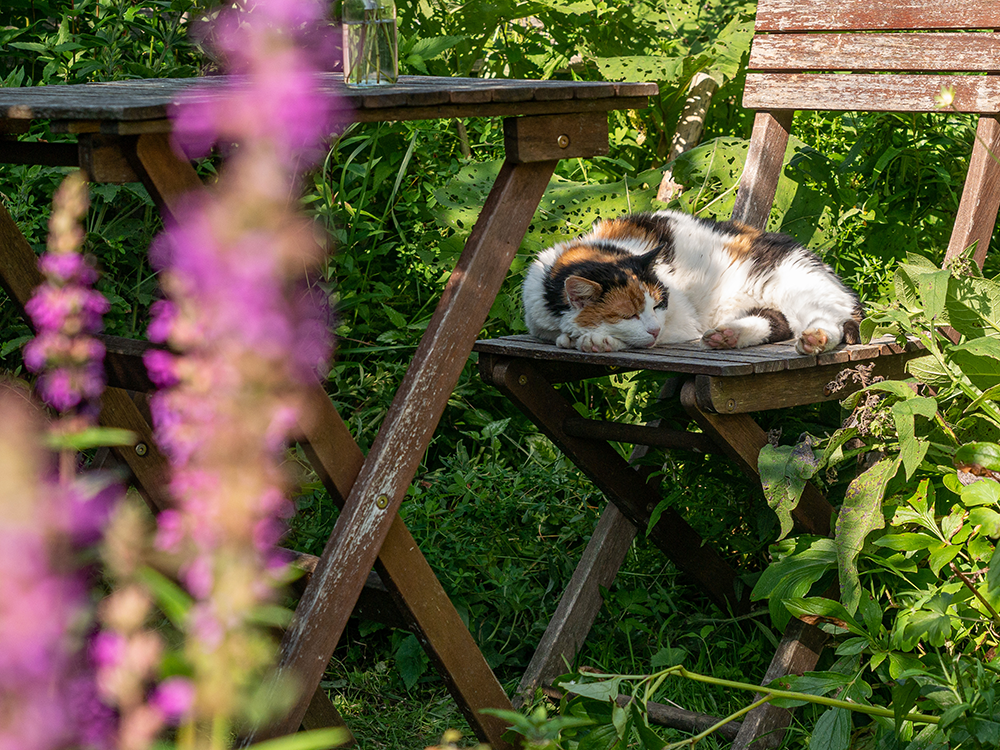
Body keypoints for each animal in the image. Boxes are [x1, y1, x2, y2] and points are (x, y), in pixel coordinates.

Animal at [520, 209, 864, 356]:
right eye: (628, 314)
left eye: (659, 305)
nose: (653, 328)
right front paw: (570, 338)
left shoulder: (684, 322)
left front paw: (597, 340)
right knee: (777, 322)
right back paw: (727, 336)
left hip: (798, 285)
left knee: (829, 321)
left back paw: (815, 340)